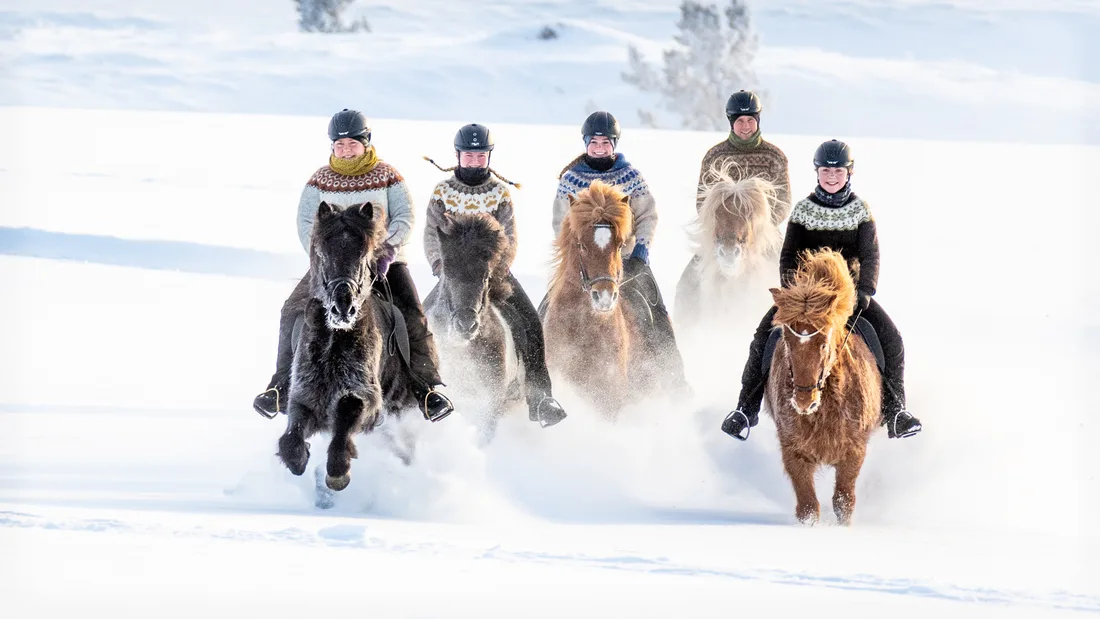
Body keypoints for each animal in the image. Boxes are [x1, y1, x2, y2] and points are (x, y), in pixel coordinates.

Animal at [277, 201, 419, 492]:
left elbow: (348, 408)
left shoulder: (368, 400)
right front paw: (300, 458)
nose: (343, 307)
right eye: (322, 253)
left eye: (364, 256)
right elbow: (291, 438)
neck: (334, 342)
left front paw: (338, 472)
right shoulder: (303, 394)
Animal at [765, 248, 882, 526]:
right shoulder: (793, 452)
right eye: (786, 340)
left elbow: (843, 502)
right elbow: (808, 507)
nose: (803, 401)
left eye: (823, 343)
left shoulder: (854, 451)